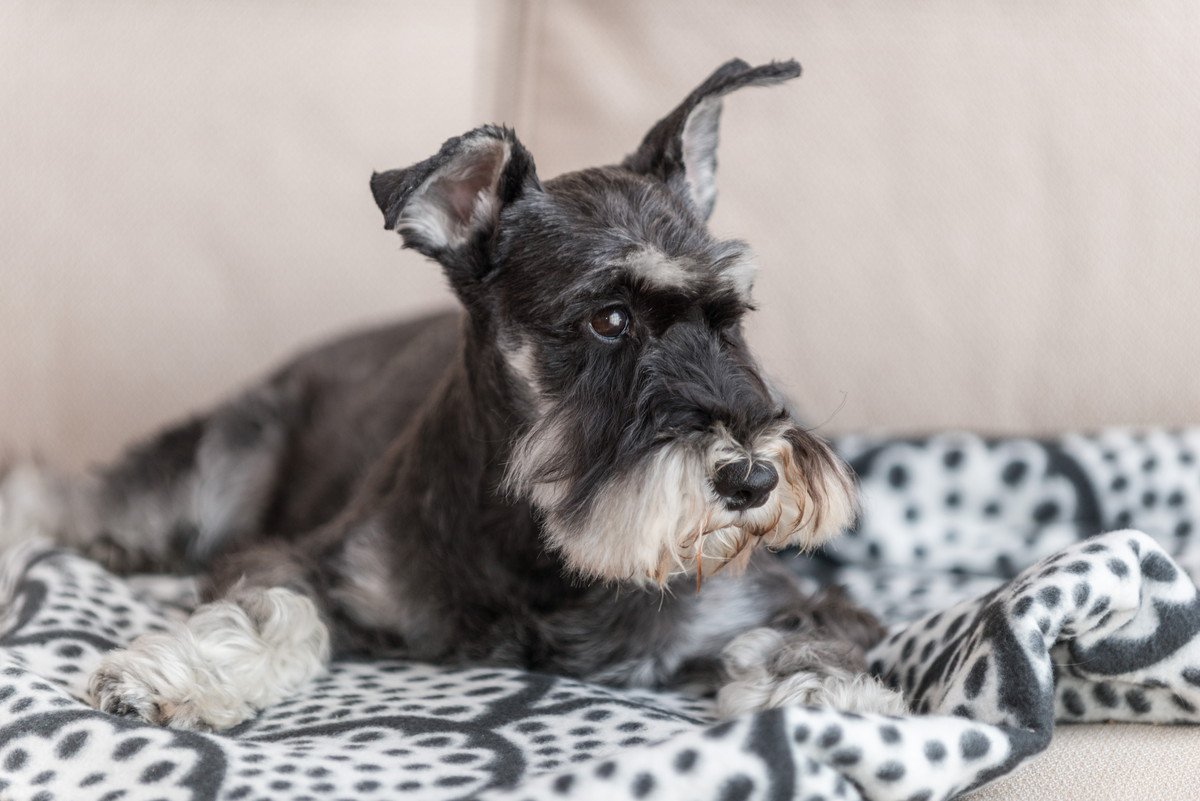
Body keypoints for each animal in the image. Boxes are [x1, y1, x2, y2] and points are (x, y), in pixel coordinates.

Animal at [0, 59, 902, 729]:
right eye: (609, 318)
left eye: (732, 315)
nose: (753, 478)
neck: (542, 549)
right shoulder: (298, 556)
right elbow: (276, 611)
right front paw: (177, 674)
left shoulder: (777, 599)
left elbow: (816, 638)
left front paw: (829, 696)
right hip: (211, 469)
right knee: (63, 494)